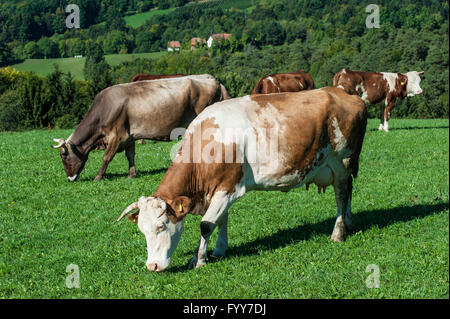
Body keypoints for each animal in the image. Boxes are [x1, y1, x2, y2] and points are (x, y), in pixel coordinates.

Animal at [51, 73, 230, 181]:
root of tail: (212, 78)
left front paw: (98, 177)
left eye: (63, 155)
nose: (70, 178)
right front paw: (132, 174)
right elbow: (130, 155)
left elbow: (106, 157)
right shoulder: (129, 136)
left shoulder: (117, 136)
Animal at [118, 86, 368, 272]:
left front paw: (199, 259)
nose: (152, 266)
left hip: (342, 160)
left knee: (342, 193)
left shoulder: (228, 187)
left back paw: (338, 232)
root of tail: (343, 93)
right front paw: (218, 250)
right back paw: (349, 223)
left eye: (160, 226)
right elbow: (221, 220)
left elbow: (206, 225)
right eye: (142, 230)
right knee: (348, 190)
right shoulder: (218, 190)